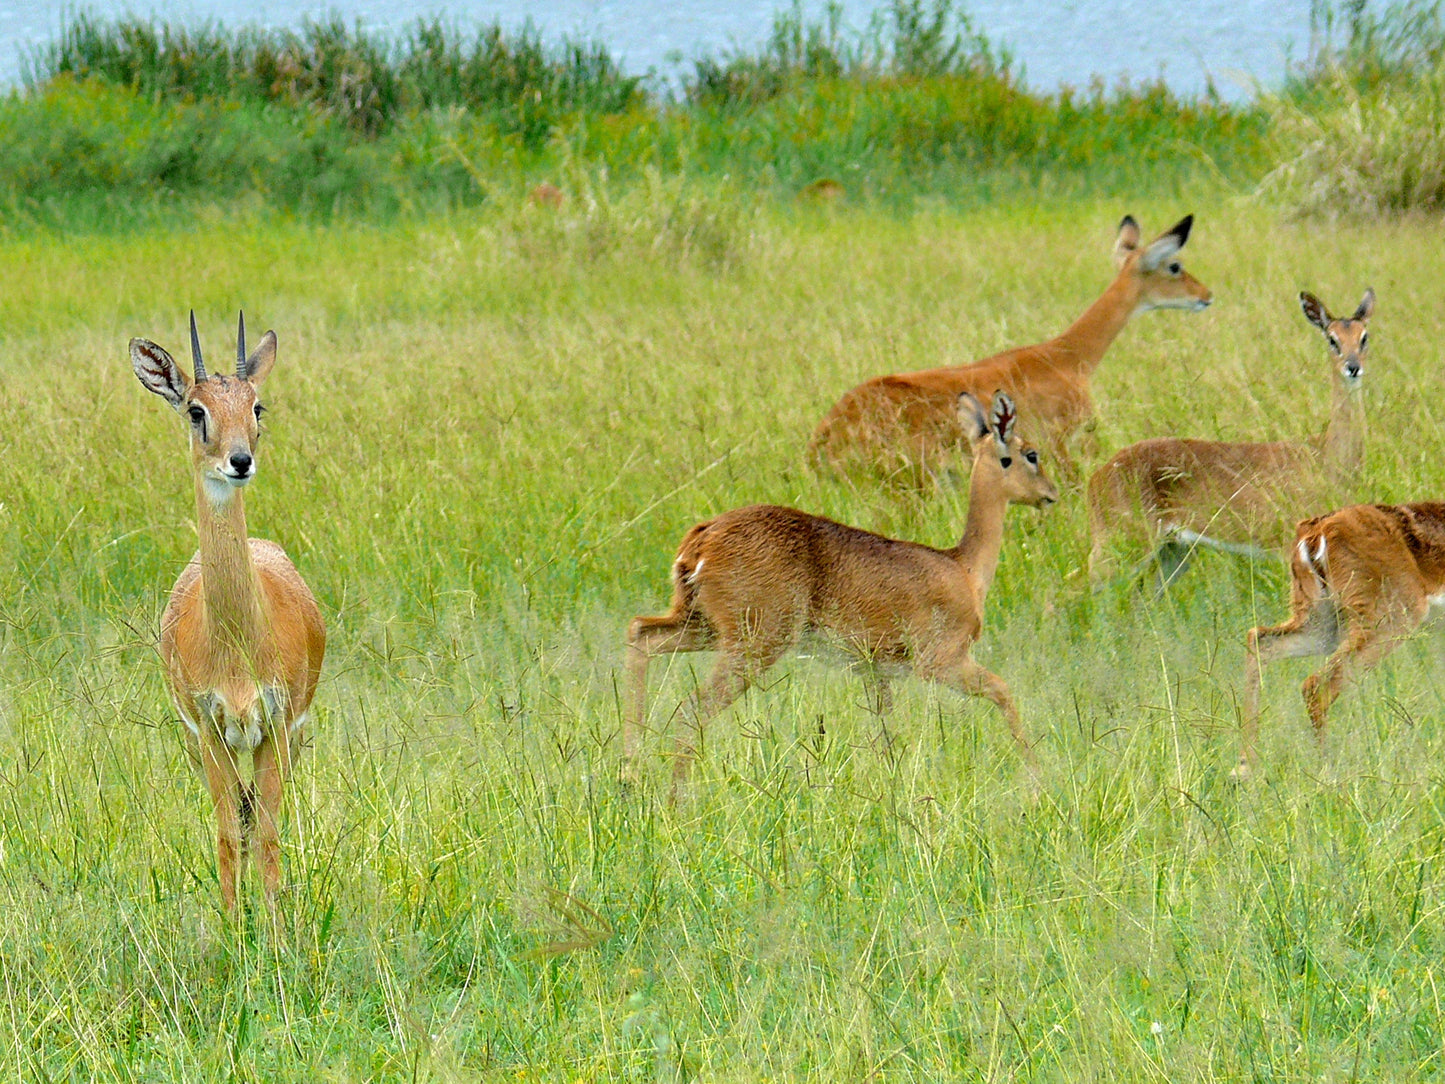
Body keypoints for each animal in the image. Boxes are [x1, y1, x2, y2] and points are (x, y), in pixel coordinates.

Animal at [130, 313, 325, 919]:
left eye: (257, 406)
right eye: (197, 410)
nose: (240, 460)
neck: (237, 641)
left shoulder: (278, 726)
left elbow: (266, 833)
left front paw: (275, 930)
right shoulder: (211, 727)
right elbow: (226, 833)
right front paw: (234, 928)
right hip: (195, 744)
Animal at [625, 391, 1057, 792]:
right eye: (1031, 454)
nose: (1051, 493)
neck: (964, 569)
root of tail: (701, 541)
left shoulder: (875, 670)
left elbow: (885, 736)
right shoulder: (942, 661)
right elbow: (1004, 691)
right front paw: (1036, 778)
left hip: (703, 625)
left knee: (640, 634)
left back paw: (630, 771)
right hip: (754, 643)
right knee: (692, 707)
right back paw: (673, 796)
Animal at [1087, 289, 1374, 591]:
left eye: (1364, 337)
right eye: (1332, 339)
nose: (1353, 367)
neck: (1325, 455)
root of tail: (1096, 477)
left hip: (1174, 551)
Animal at [1237, 502, 1445, 778]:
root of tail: (1315, 532)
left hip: (1322, 621)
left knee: (1260, 639)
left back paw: (1244, 768)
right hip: (1392, 615)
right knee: (1315, 685)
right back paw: (1330, 773)